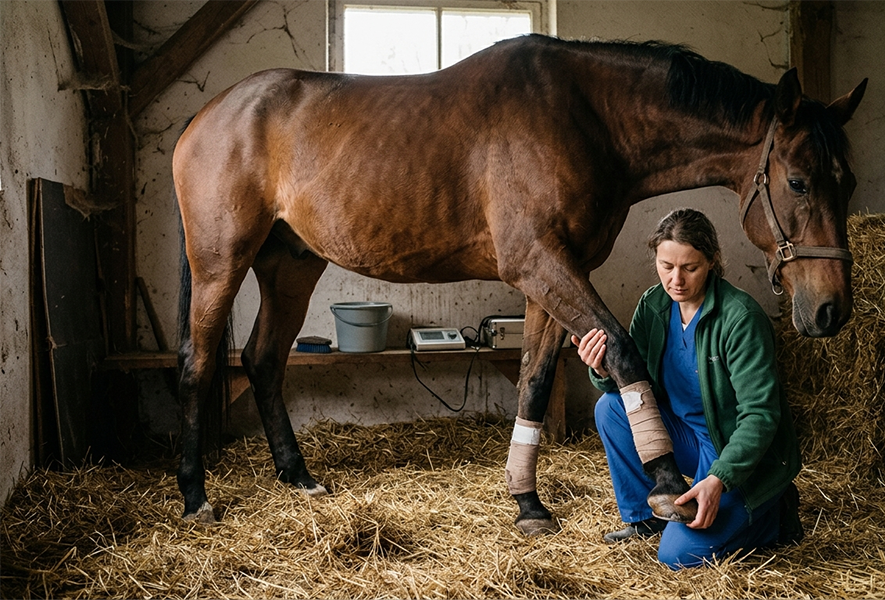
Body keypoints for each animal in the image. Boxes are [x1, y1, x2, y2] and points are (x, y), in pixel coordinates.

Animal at [172, 34, 866, 534]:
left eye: (849, 180)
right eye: (799, 181)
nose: (831, 309)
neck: (586, 116)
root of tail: (205, 115)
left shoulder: (550, 275)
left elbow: (534, 379)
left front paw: (527, 504)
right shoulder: (539, 262)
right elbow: (621, 349)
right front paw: (669, 483)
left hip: (291, 264)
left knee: (263, 358)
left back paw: (298, 476)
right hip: (221, 262)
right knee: (199, 361)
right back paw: (195, 496)